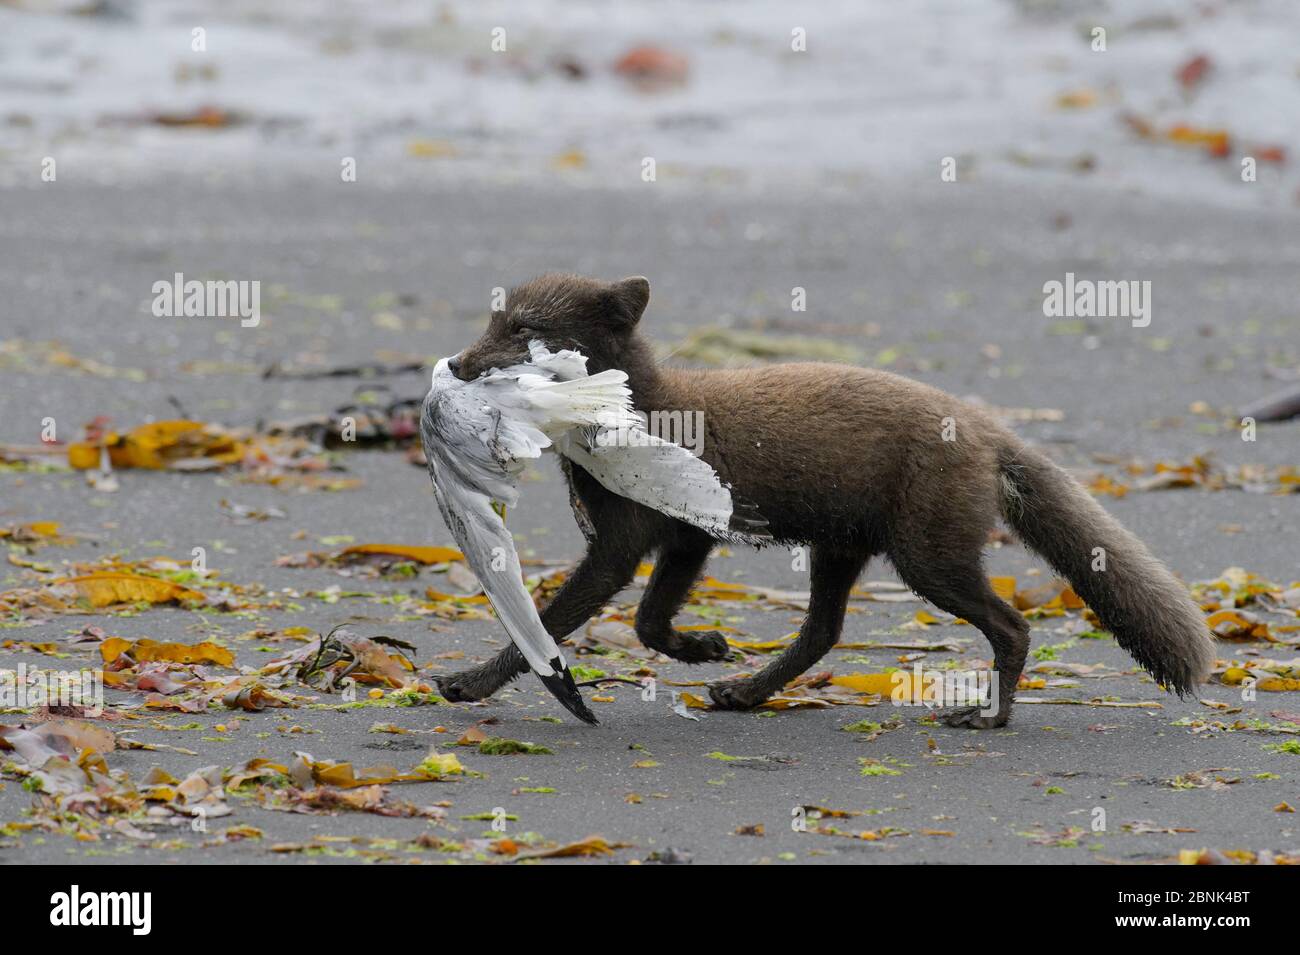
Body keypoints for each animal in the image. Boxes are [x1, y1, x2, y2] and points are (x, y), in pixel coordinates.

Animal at [436, 272, 1216, 727]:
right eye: (492, 322)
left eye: (526, 330)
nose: (460, 364)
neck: (645, 407)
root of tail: (985, 426)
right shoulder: (690, 535)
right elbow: (650, 622)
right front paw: (704, 647)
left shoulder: (623, 544)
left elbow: (549, 624)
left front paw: (470, 683)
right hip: (841, 547)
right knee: (824, 632)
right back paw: (745, 691)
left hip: (926, 557)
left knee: (1012, 626)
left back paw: (991, 717)